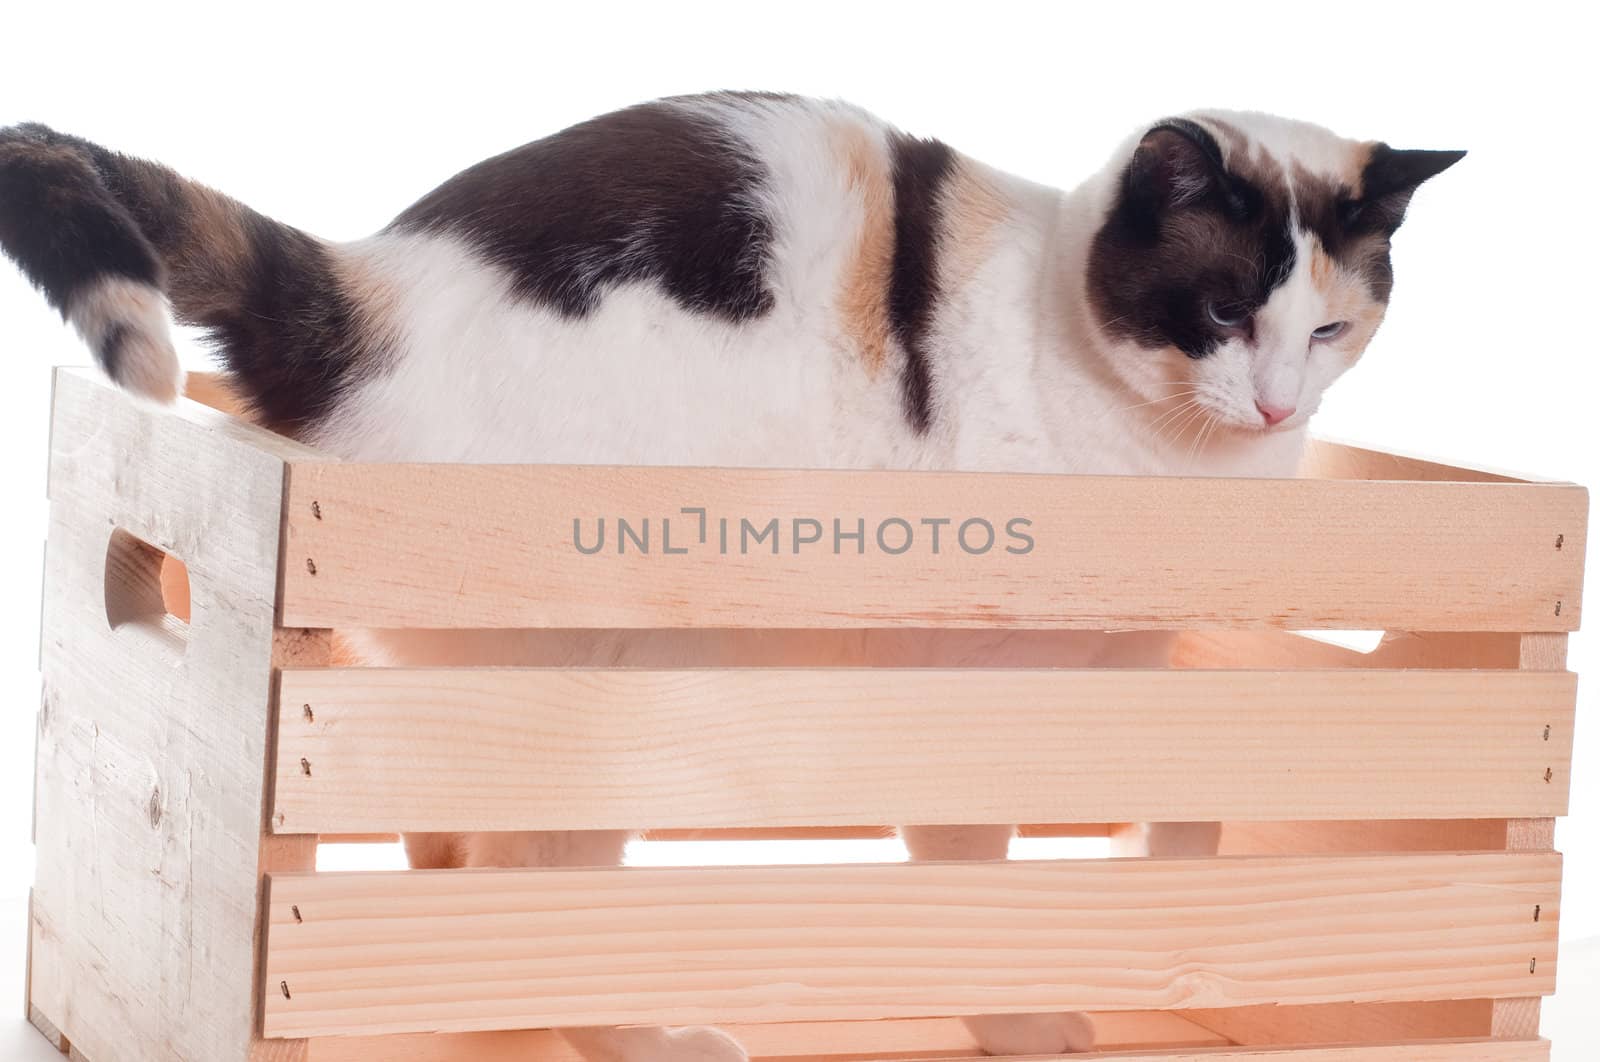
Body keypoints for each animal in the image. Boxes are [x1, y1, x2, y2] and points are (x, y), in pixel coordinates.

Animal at [0, 95, 1465, 1055]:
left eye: (1329, 329)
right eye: (1221, 311)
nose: (1275, 408)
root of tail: (365, 289)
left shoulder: (1152, 682)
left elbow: (1170, 840)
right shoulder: (976, 685)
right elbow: (974, 872)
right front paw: (1021, 1010)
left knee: (442, 848)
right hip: (615, 688)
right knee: (518, 878)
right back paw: (636, 1032)